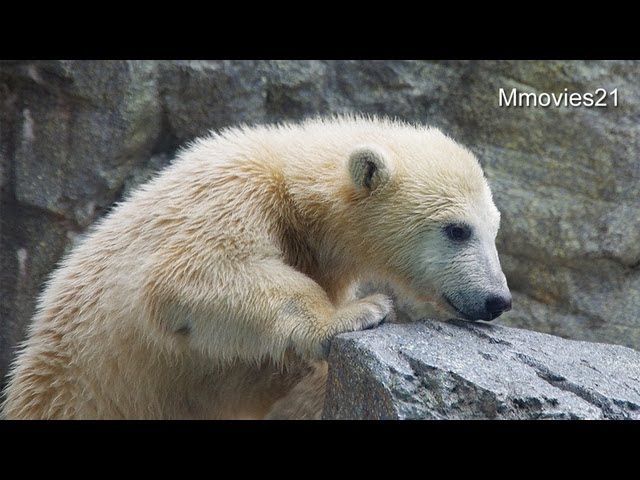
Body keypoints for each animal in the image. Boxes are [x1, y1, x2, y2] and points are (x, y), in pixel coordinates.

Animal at [0, 116, 510, 420]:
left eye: (495, 228)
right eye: (457, 229)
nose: (498, 299)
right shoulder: (231, 193)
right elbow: (193, 273)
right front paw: (359, 313)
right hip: (78, 394)